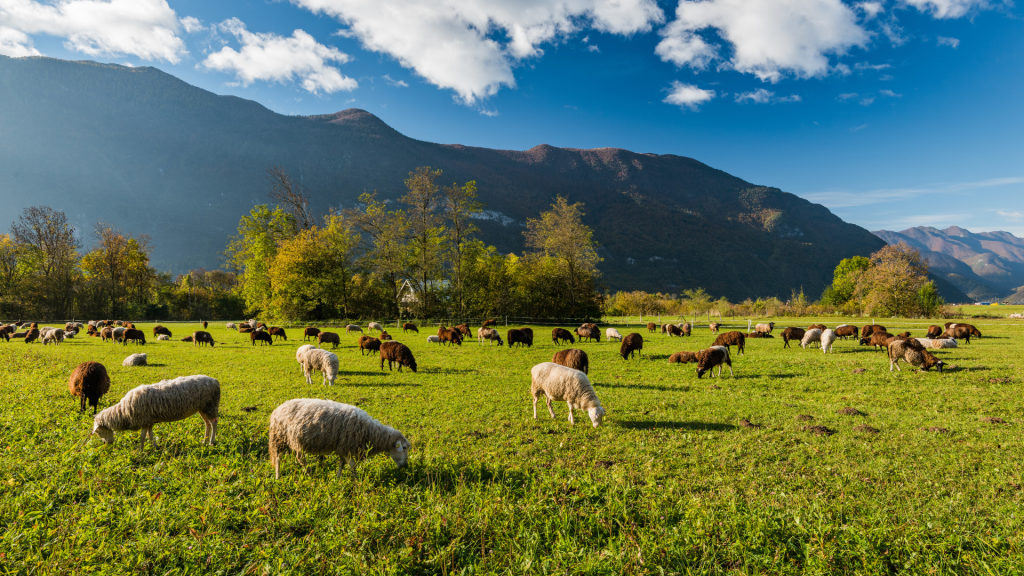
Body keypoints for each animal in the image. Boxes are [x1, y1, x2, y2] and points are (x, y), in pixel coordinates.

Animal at [89, 373, 222, 448]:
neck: (123, 412)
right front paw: (155, 446)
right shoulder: (149, 421)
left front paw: (141, 451)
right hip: (202, 407)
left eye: (99, 432)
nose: (106, 444)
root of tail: (215, 380)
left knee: (214, 423)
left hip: (210, 405)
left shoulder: (143, 420)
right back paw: (204, 441)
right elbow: (150, 435)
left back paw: (211, 442)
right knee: (207, 423)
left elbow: (142, 437)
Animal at [268, 397, 411, 477]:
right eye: (403, 448)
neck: (370, 432)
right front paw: (356, 480)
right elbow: (352, 465)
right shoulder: (348, 446)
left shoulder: (343, 447)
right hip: (280, 438)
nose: (405, 466)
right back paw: (281, 476)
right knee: (280, 458)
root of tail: (278, 408)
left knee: (296, 457)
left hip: (291, 440)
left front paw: (339, 476)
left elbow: (342, 463)